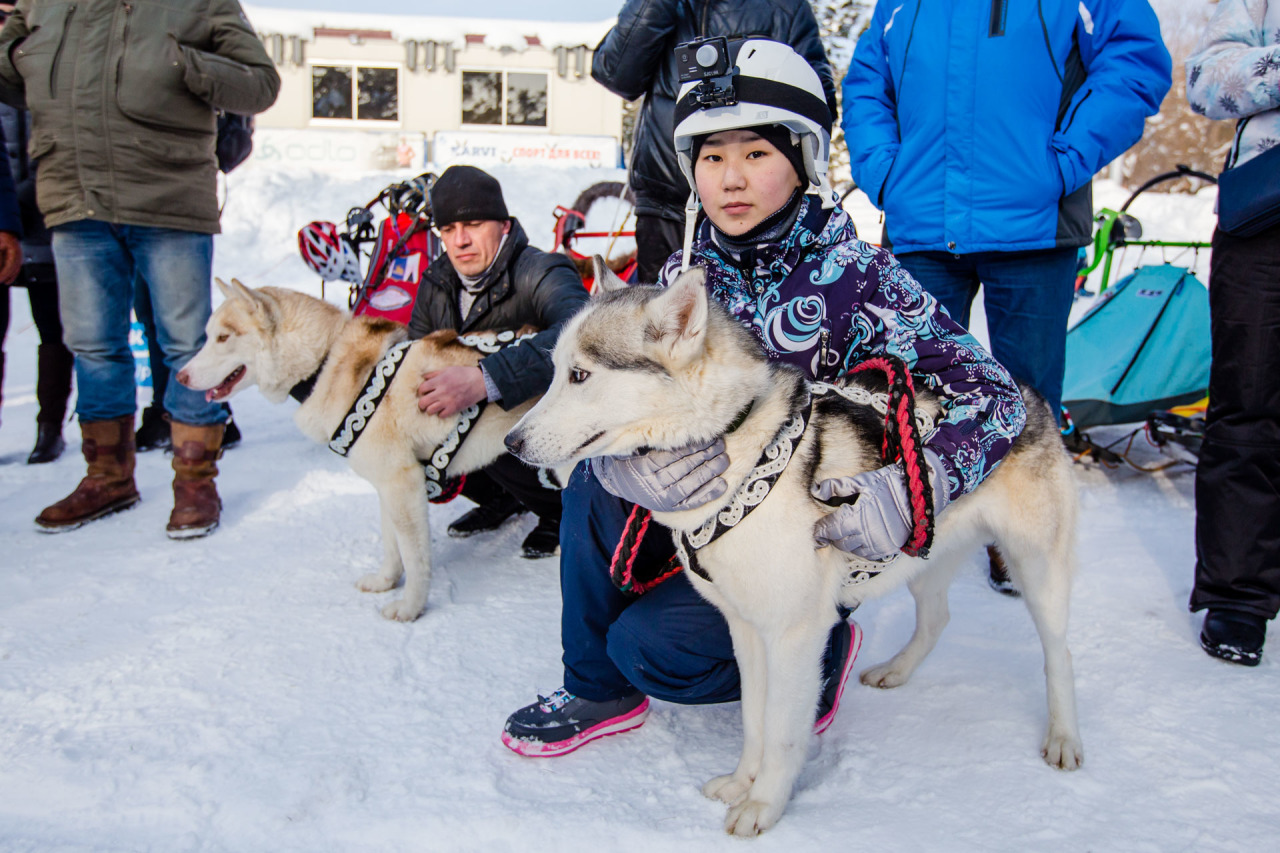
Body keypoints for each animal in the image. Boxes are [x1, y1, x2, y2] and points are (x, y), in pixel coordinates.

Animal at [177, 279, 547, 617]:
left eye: (223, 337)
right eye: (209, 335)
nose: (180, 377)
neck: (325, 363)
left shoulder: (402, 485)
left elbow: (415, 558)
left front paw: (410, 608)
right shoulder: (388, 487)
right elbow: (391, 546)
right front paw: (386, 581)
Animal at [504, 263, 1085, 829]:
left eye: (580, 375)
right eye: (555, 371)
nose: (511, 442)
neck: (738, 443)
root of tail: (1025, 389)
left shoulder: (792, 635)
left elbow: (783, 731)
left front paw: (764, 806)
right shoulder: (746, 629)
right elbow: (755, 720)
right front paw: (742, 782)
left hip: (1037, 569)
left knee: (1059, 653)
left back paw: (1063, 736)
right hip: (921, 554)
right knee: (937, 618)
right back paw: (896, 670)